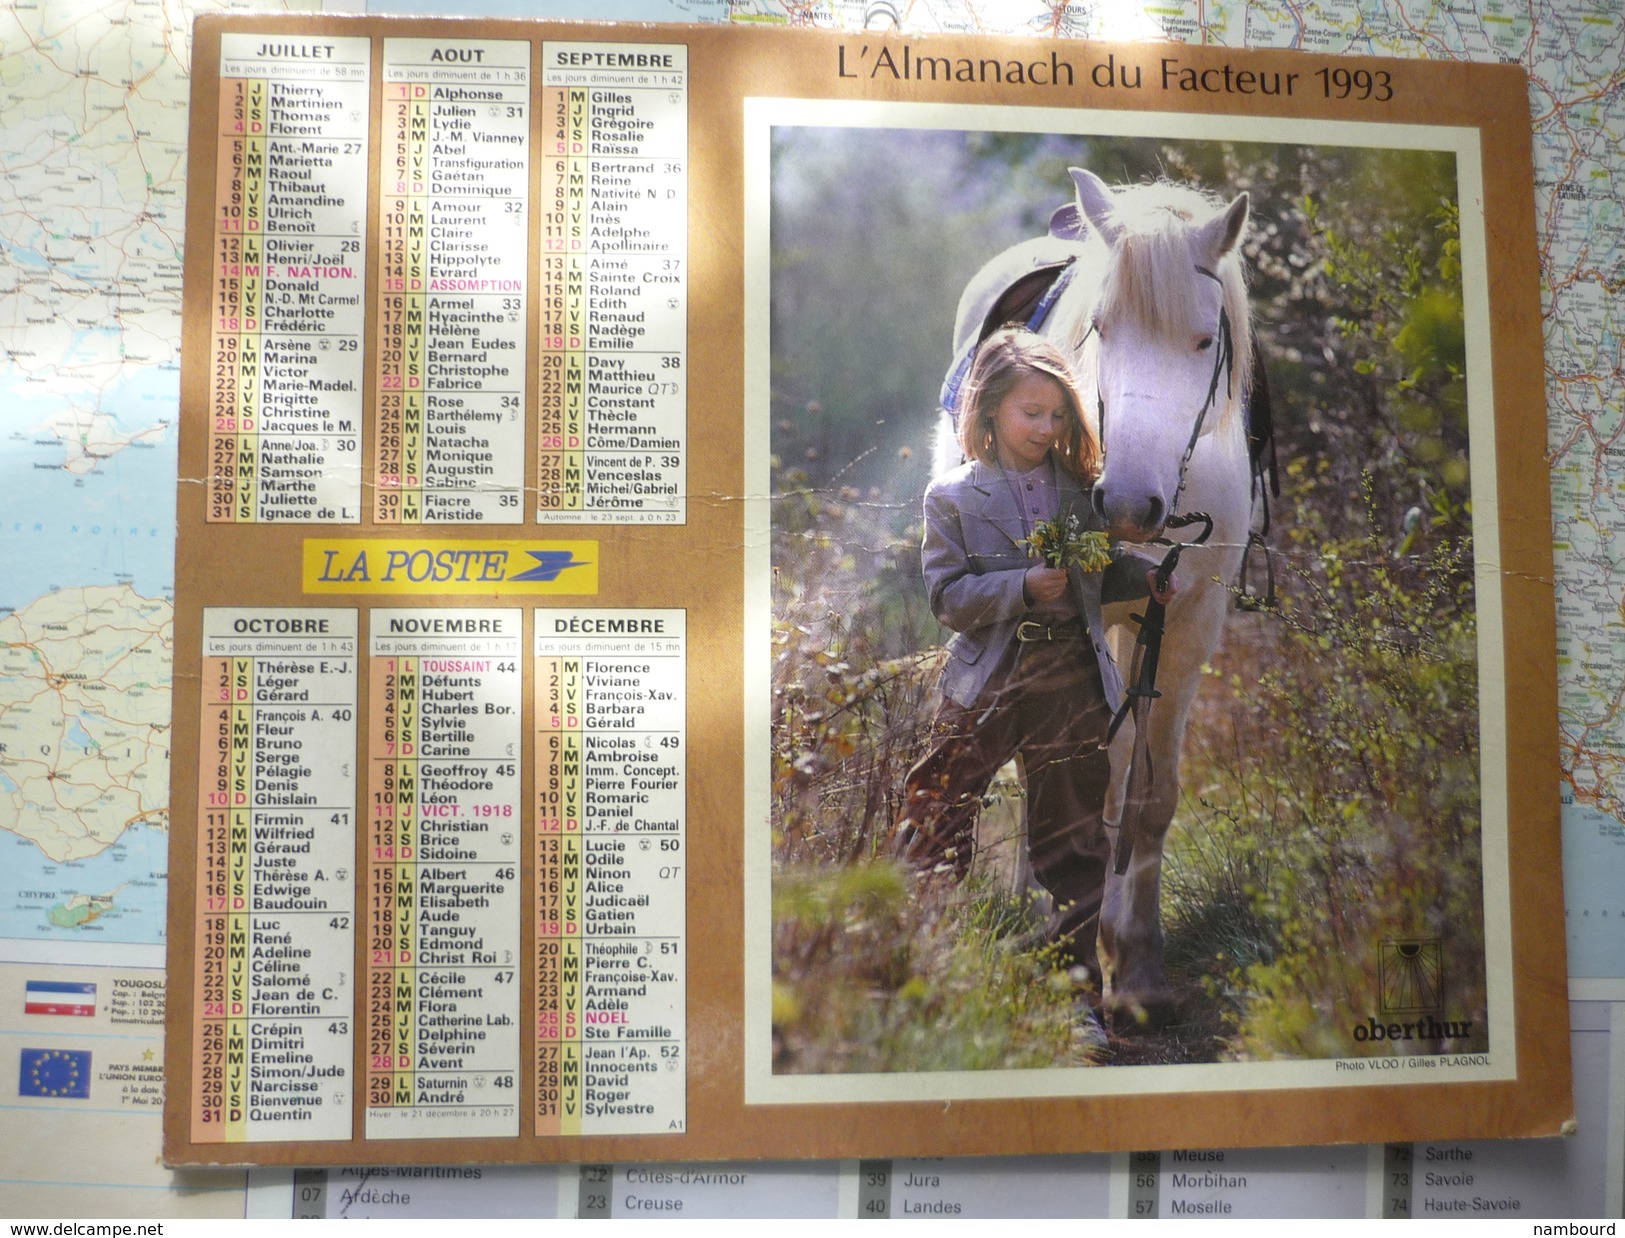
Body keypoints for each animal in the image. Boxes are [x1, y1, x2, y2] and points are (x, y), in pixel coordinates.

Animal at [949, 166, 1254, 1013]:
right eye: (1101, 328)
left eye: (1204, 339)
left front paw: (1139, 961)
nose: (1122, 503)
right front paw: (1092, 943)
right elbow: (1088, 775)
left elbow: (1147, 791)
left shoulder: (1187, 623)